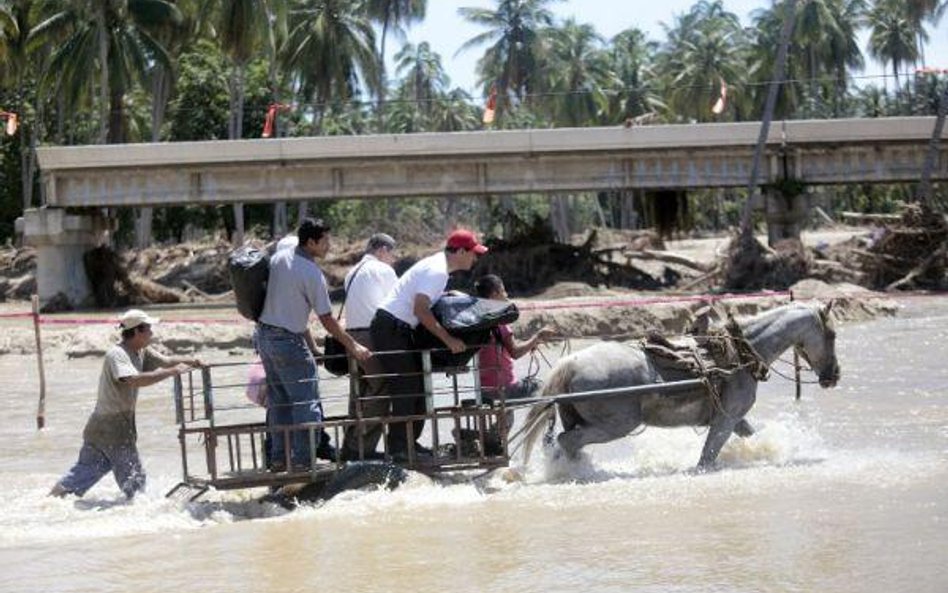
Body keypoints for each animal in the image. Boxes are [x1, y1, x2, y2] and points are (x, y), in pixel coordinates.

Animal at [524, 302, 840, 470]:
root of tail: (570, 363)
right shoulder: (725, 420)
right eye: (833, 335)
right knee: (568, 441)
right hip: (616, 425)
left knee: (563, 442)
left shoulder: (733, 419)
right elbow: (706, 458)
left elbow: (751, 436)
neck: (739, 354)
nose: (834, 375)